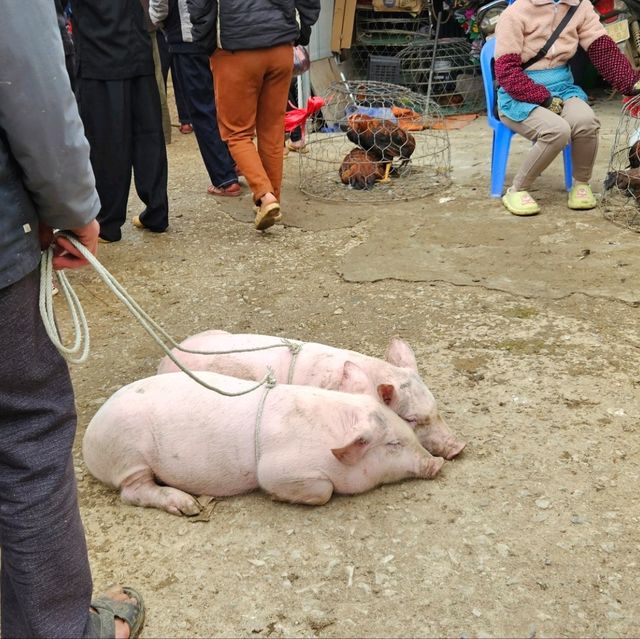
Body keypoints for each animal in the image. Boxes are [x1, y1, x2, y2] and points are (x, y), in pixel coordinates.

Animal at [82, 368, 444, 512]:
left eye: (406, 427)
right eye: (393, 445)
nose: (438, 463)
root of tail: (89, 436)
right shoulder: (277, 469)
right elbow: (323, 492)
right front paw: (277, 498)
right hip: (129, 456)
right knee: (132, 492)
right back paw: (190, 506)